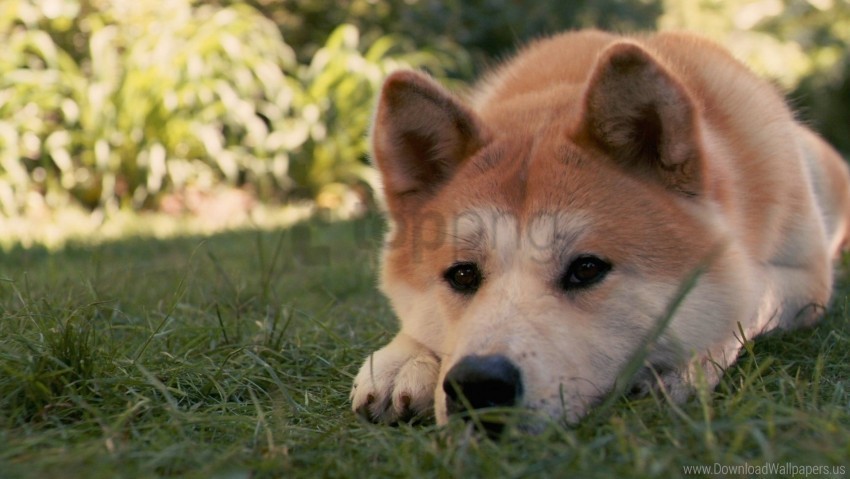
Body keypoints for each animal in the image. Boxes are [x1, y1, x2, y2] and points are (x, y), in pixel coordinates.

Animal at [348, 29, 844, 428]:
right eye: (463, 274)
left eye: (587, 269)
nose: (478, 384)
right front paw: (404, 359)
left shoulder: (806, 280)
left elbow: (752, 298)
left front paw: (688, 363)